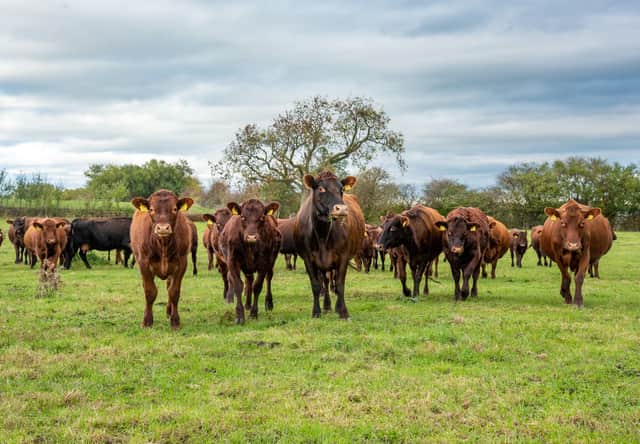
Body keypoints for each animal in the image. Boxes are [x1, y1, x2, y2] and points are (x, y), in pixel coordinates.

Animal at [130, 190, 194, 329]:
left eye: (175, 209)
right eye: (151, 209)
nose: (163, 228)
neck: (163, 244)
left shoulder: (182, 263)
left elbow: (174, 292)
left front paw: (175, 321)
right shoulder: (143, 263)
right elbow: (150, 291)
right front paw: (147, 321)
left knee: (169, 286)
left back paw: (169, 311)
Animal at [294, 171, 365, 319]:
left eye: (341, 189)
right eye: (321, 189)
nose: (341, 209)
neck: (322, 235)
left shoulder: (343, 257)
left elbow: (340, 284)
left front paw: (343, 312)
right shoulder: (308, 259)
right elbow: (316, 285)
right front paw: (316, 312)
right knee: (326, 282)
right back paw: (326, 305)